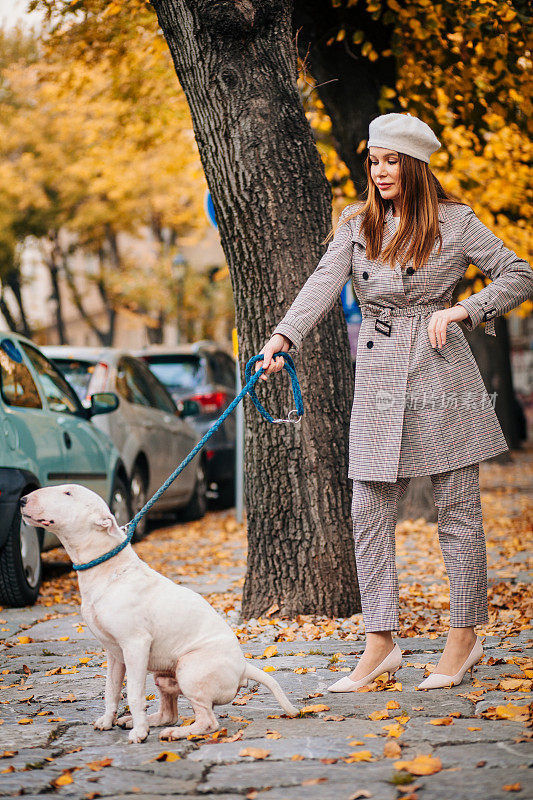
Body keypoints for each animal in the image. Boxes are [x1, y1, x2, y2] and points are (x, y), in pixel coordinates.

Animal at [20, 488, 298, 744]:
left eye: (68, 493)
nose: (22, 500)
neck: (108, 569)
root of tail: (243, 668)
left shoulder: (135, 645)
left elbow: (133, 693)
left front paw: (139, 733)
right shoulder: (114, 654)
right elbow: (111, 690)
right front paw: (108, 722)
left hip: (190, 668)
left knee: (208, 721)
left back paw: (177, 733)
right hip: (164, 676)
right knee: (169, 713)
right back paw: (139, 721)